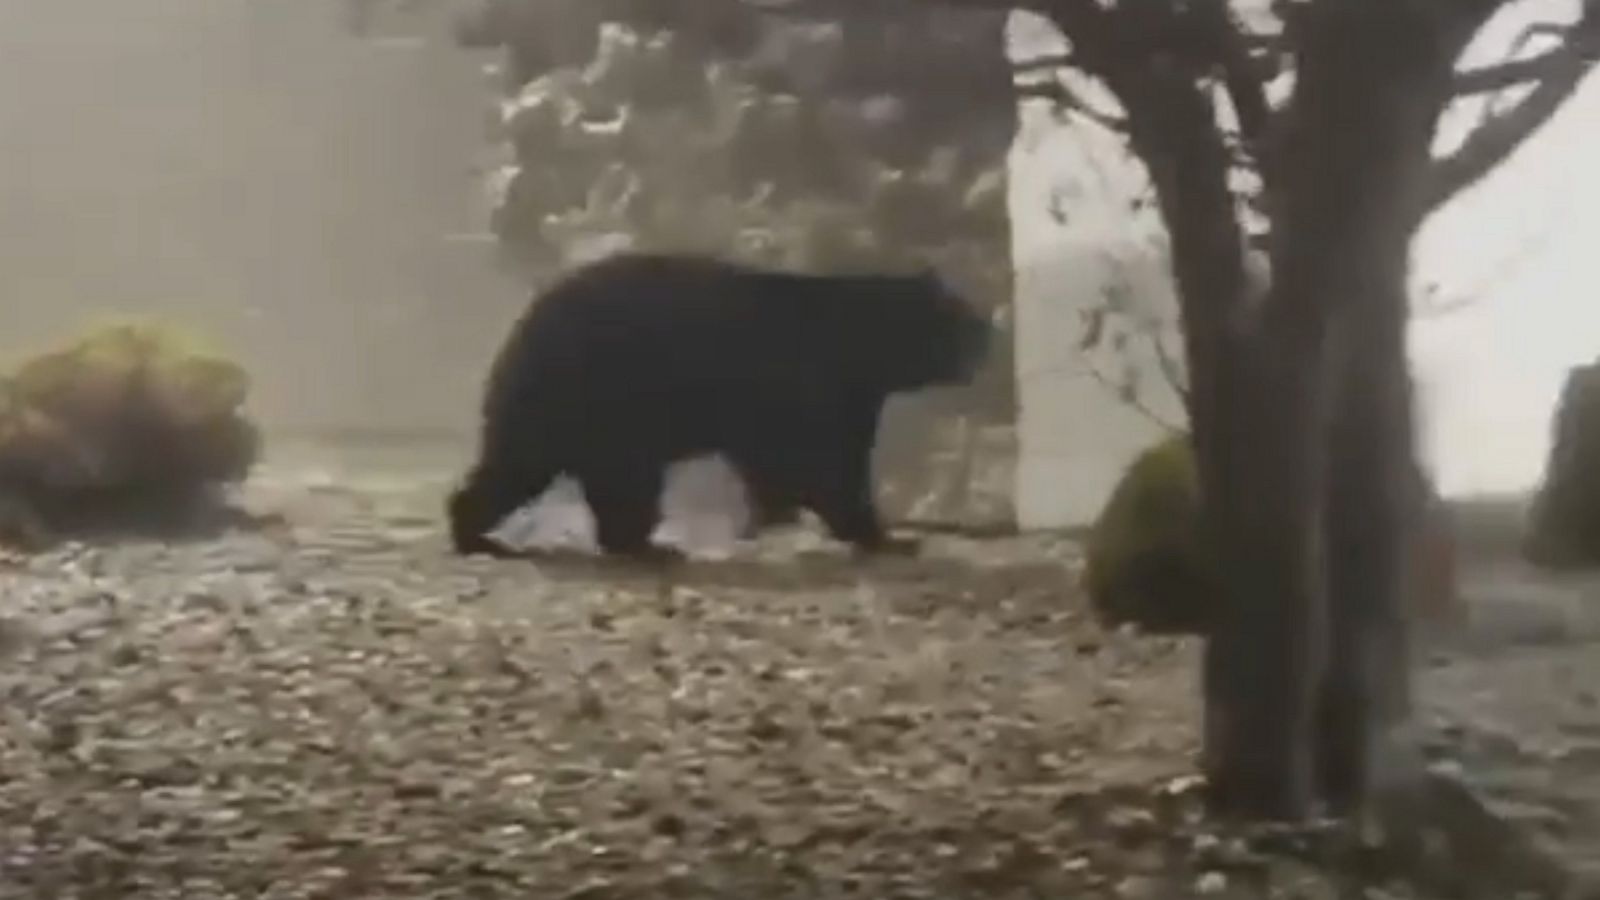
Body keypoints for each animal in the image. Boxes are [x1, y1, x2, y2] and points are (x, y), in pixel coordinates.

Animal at [441, 246, 985, 554]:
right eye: (962, 317)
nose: (990, 337)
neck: (865, 350)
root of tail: (520, 330)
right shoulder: (810, 388)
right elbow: (821, 464)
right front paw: (882, 534)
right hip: (601, 399)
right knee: (577, 474)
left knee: (534, 471)